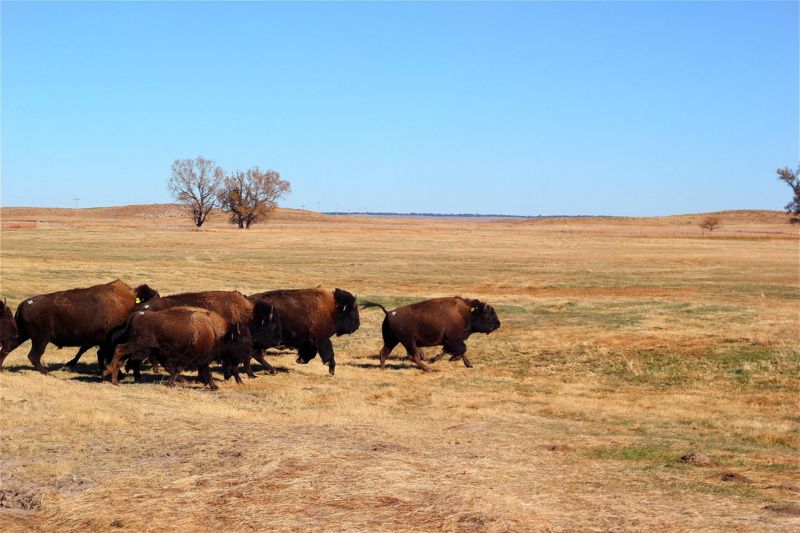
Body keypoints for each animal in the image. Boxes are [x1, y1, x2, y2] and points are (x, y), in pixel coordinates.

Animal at [0, 280, 159, 374]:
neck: (127, 303)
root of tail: (23, 304)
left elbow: (91, 351)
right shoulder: (106, 341)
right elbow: (103, 354)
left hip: (22, 334)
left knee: (7, 348)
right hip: (41, 339)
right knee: (33, 355)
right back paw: (46, 372)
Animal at [362, 297, 501, 372]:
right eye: (488, 314)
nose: (498, 324)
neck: (466, 313)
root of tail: (389, 313)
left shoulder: (454, 341)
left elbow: (459, 351)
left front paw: (468, 364)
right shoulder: (453, 340)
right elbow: (461, 349)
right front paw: (448, 359)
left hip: (392, 340)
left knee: (384, 352)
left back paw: (383, 369)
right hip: (407, 341)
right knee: (413, 356)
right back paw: (429, 369)